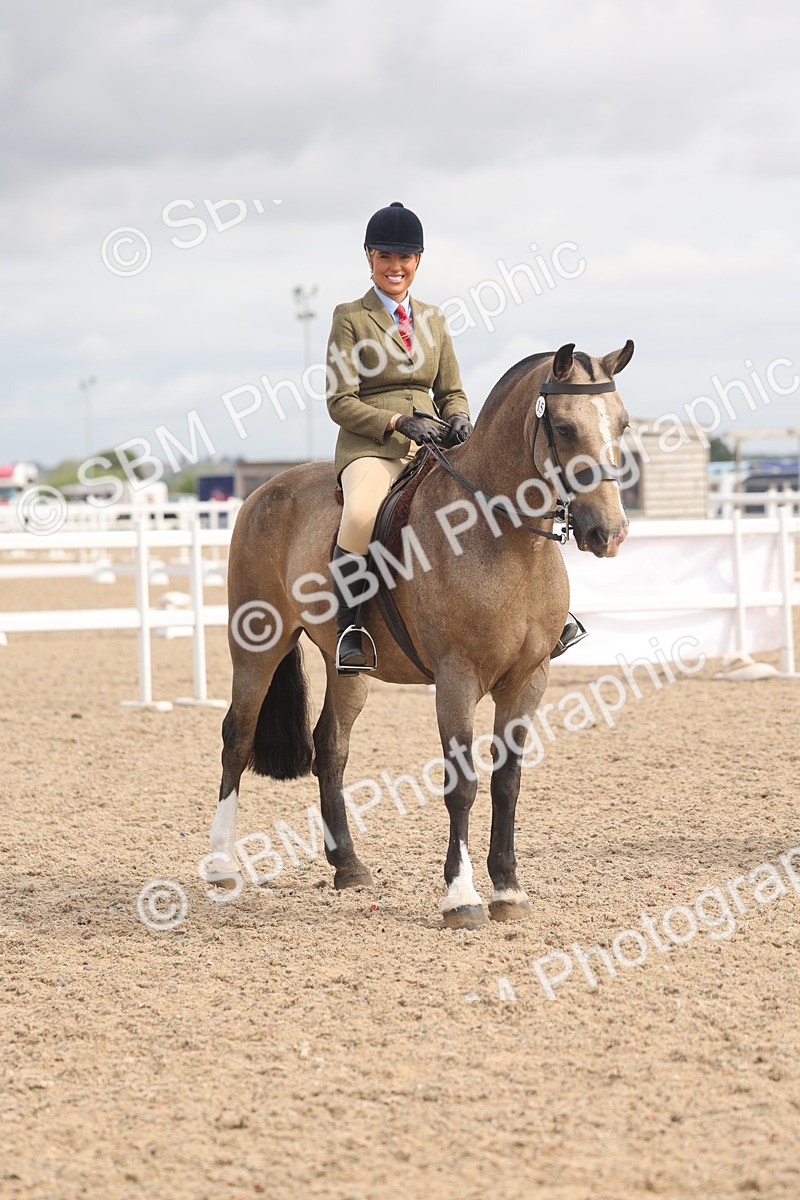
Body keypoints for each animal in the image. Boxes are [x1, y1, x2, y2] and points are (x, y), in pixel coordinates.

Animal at [207, 341, 634, 929]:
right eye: (566, 428)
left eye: (622, 422)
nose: (608, 533)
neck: (505, 540)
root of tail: (264, 491)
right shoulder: (456, 678)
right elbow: (463, 784)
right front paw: (461, 897)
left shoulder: (529, 679)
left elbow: (507, 782)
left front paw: (508, 889)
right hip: (256, 646)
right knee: (238, 737)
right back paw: (222, 867)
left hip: (348, 665)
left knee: (330, 746)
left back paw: (349, 866)